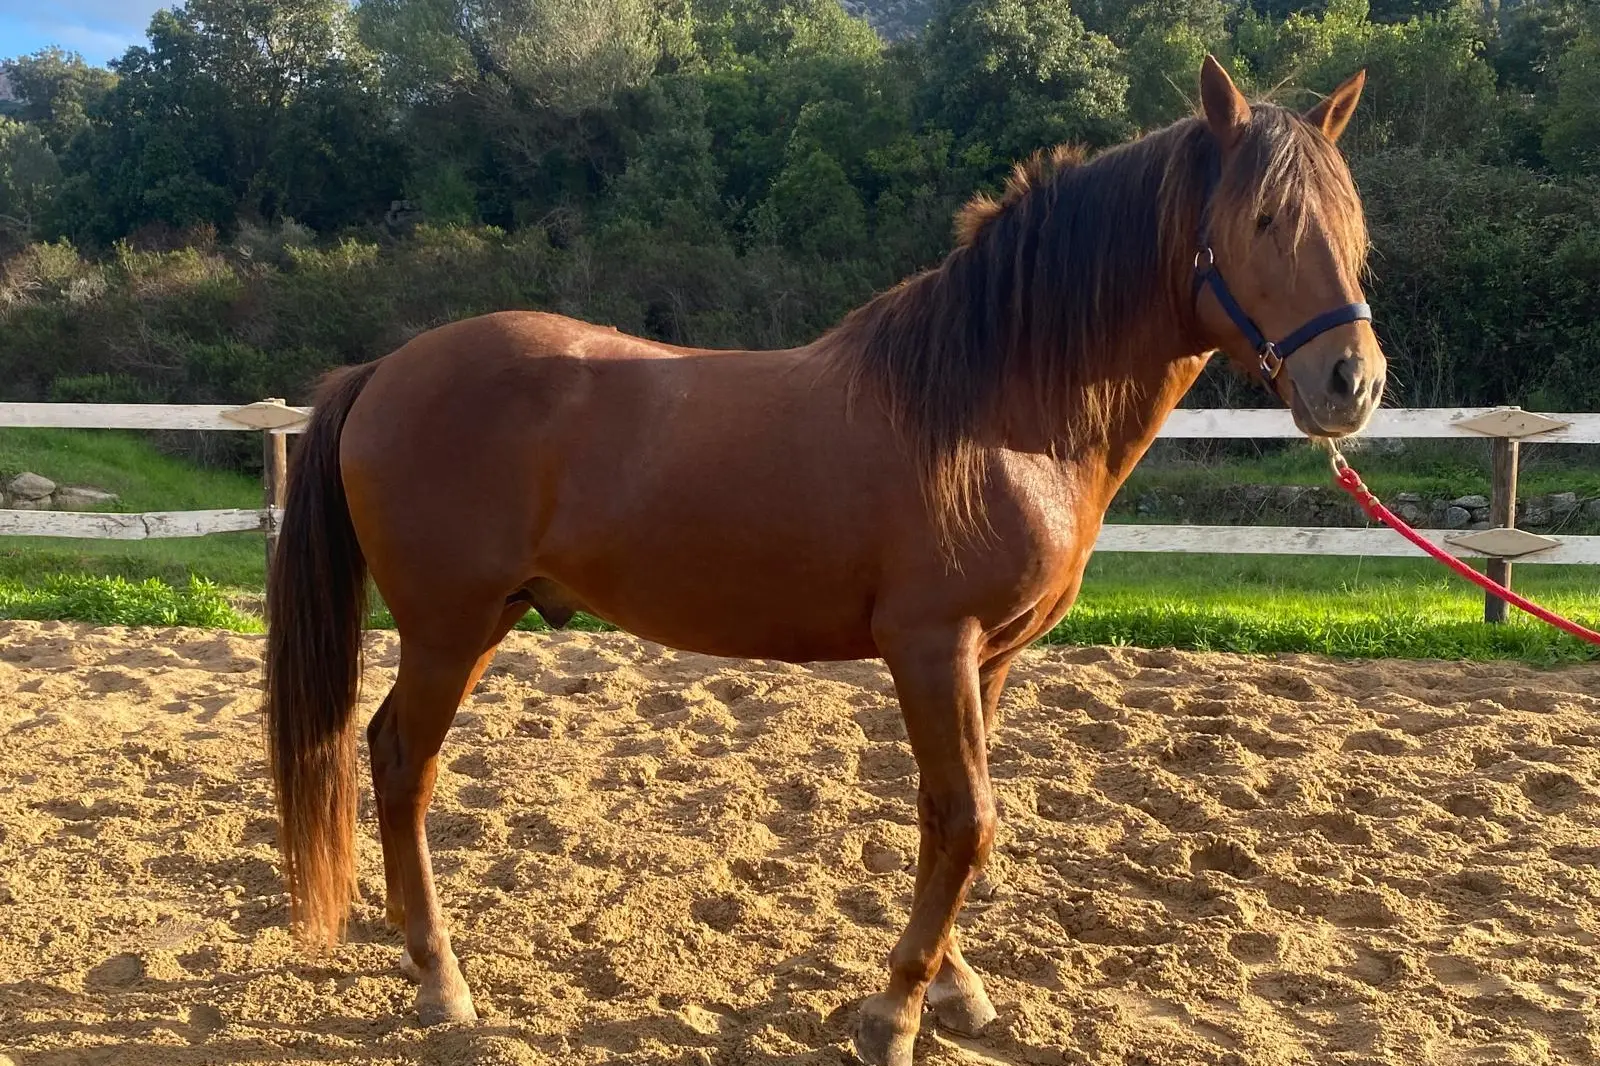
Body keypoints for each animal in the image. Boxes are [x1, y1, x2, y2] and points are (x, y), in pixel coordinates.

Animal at [264, 56, 1384, 1065]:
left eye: (1351, 225)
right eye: (1264, 220)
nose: (1353, 382)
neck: (993, 412)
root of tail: (384, 370)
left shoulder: (989, 657)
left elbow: (949, 817)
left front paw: (954, 989)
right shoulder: (931, 646)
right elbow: (968, 819)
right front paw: (894, 1014)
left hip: (482, 621)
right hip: (447, 628)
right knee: (400, 762)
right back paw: (441, 981)